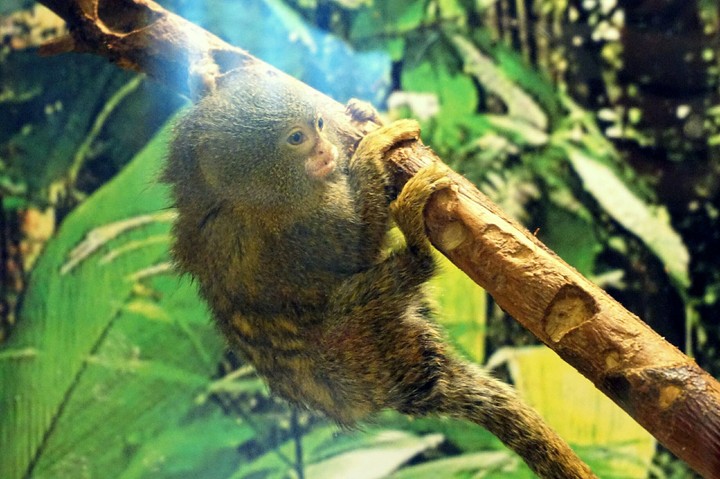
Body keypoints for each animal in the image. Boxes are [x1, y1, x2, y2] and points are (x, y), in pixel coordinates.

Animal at [164, 70, 596, 478]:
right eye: (296, 138)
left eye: (318, 124)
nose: (325, 149)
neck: (229, 195)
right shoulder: (306, 223)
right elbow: (357, 243)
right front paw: (372, 149)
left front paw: (362, 113)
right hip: (356, 343)